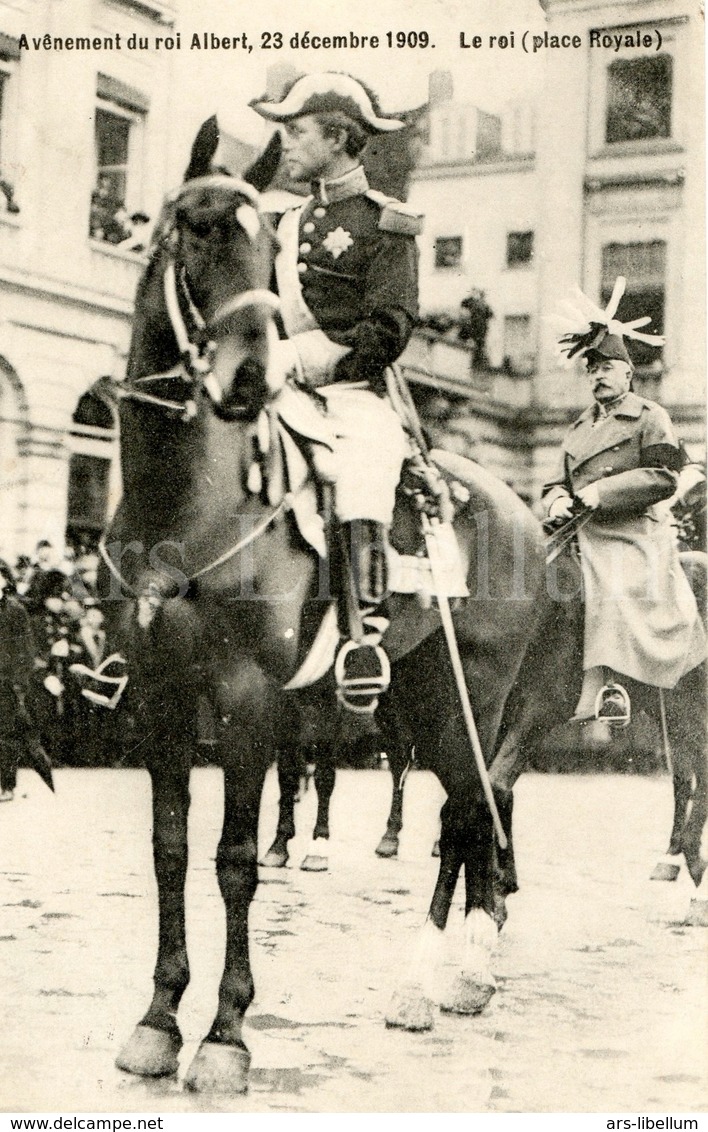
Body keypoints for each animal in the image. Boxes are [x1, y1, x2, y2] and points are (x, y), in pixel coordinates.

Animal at [96, 119, 543, 1091]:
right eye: (194, 229)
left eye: (268, 246)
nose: (250, 381)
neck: (186, 505)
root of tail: (522, 507)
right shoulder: (159, 697)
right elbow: (168, 851)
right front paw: (157, 1021)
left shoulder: (249, 702)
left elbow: (232, 862)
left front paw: (225, 1034)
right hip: (413, 693)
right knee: (470, 815)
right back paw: (455, 976)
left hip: (463, 700)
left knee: (467, 813)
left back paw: (438, 978)